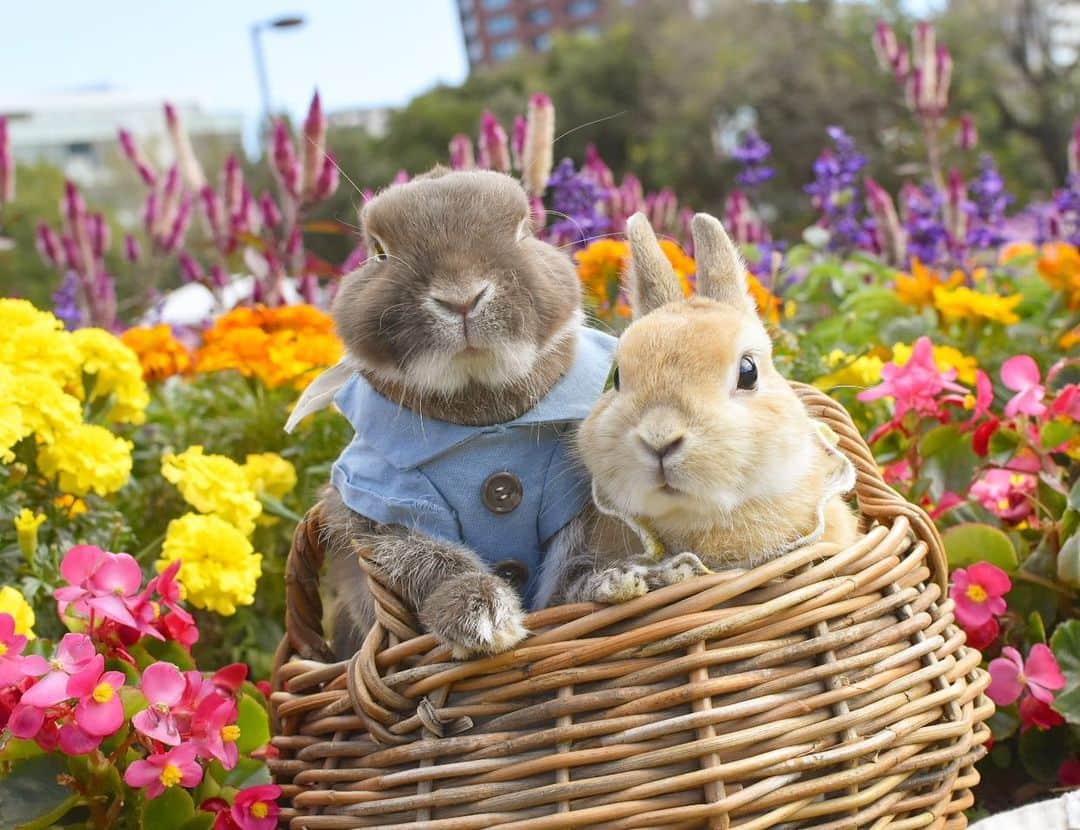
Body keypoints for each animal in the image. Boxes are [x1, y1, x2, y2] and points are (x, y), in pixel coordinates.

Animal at [286, 166, 618, 659]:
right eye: (379, 252)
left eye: (523, 231)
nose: (461, 297)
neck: (482, 423)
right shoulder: (387, 512)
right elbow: (430, 561)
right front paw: (484, 618)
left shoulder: (573, 501)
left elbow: (571, 563)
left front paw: (607, 584)